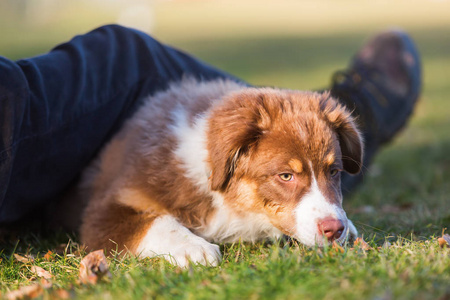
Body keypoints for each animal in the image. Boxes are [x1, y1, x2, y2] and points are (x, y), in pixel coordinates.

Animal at [79, 78, 362, 268]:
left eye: (334, 171)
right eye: (285, 176)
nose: (335, 229)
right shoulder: (104, 211)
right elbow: (155, 221)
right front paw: (194, 247)